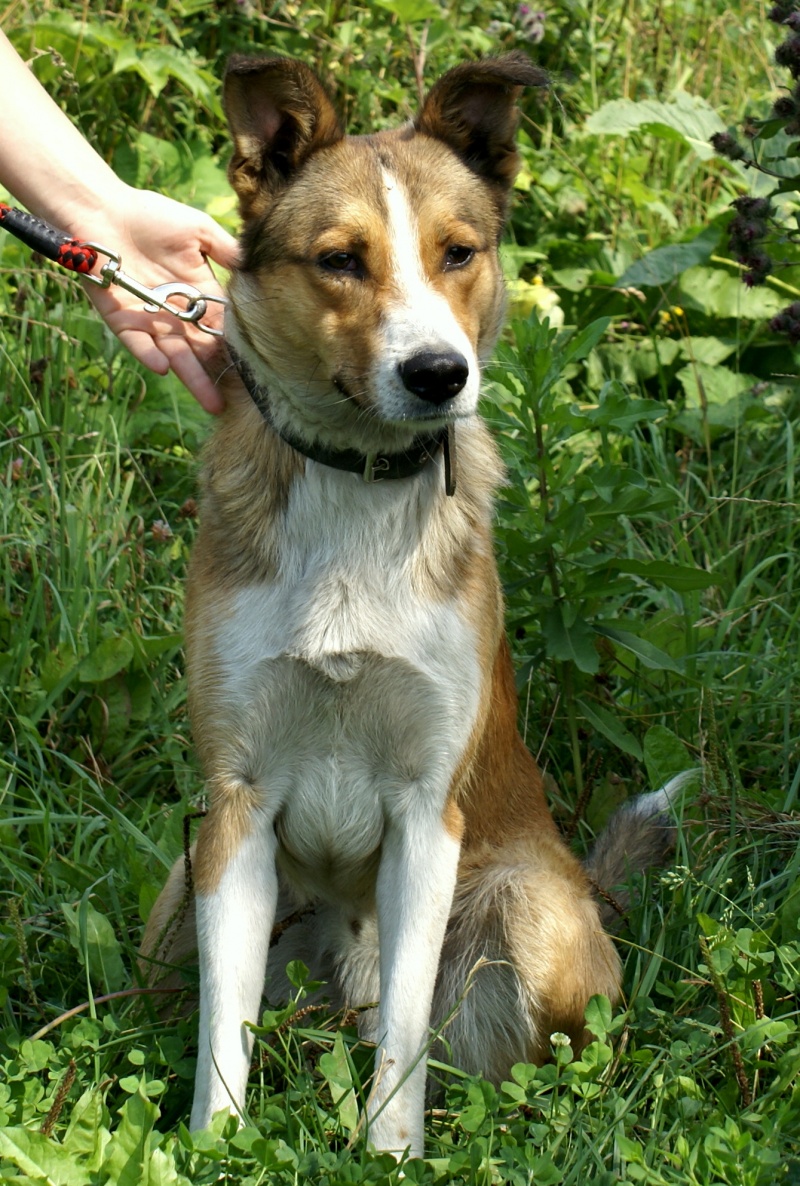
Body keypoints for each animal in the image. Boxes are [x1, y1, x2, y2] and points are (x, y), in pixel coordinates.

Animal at [141, 55, 677, 1157]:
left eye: (458, 253)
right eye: (340, 260)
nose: (438, 374)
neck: (358, 480)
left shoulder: (426, 813)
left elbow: (405, 1021)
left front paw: (391, 1155)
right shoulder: (235, 807)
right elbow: (225, 1023)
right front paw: (216, 1149)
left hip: (532, 913)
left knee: (508, 1060)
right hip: (176, 890)